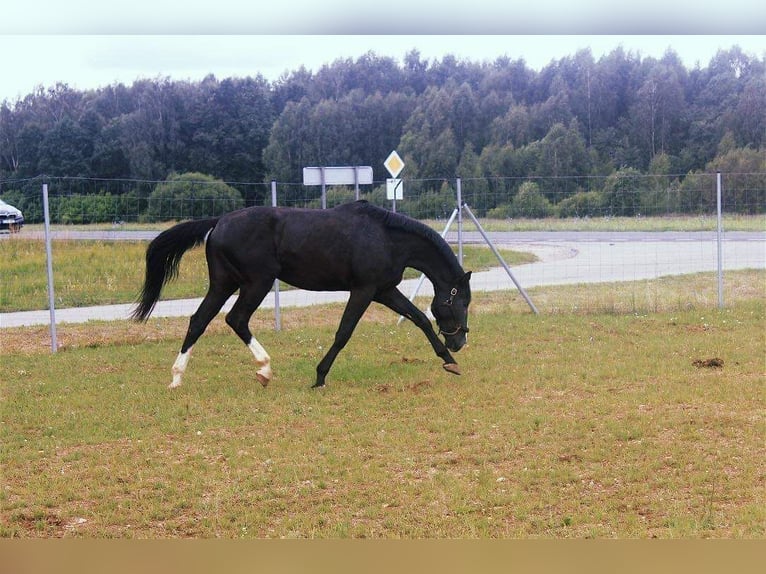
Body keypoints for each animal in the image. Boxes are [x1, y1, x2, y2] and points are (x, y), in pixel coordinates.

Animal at [132, 201, 474, 392]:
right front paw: (320, 377)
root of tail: (219, 222)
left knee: (199, 321)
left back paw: (177, 378)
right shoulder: (364, 291)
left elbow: (419, 319)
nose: (460, 341)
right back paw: (264, 369)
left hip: (223, 284)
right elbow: (343, 333)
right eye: (460, 300)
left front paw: (450, 362)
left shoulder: (384, 290)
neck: (386, 237)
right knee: (236, 319)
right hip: (256, 283)